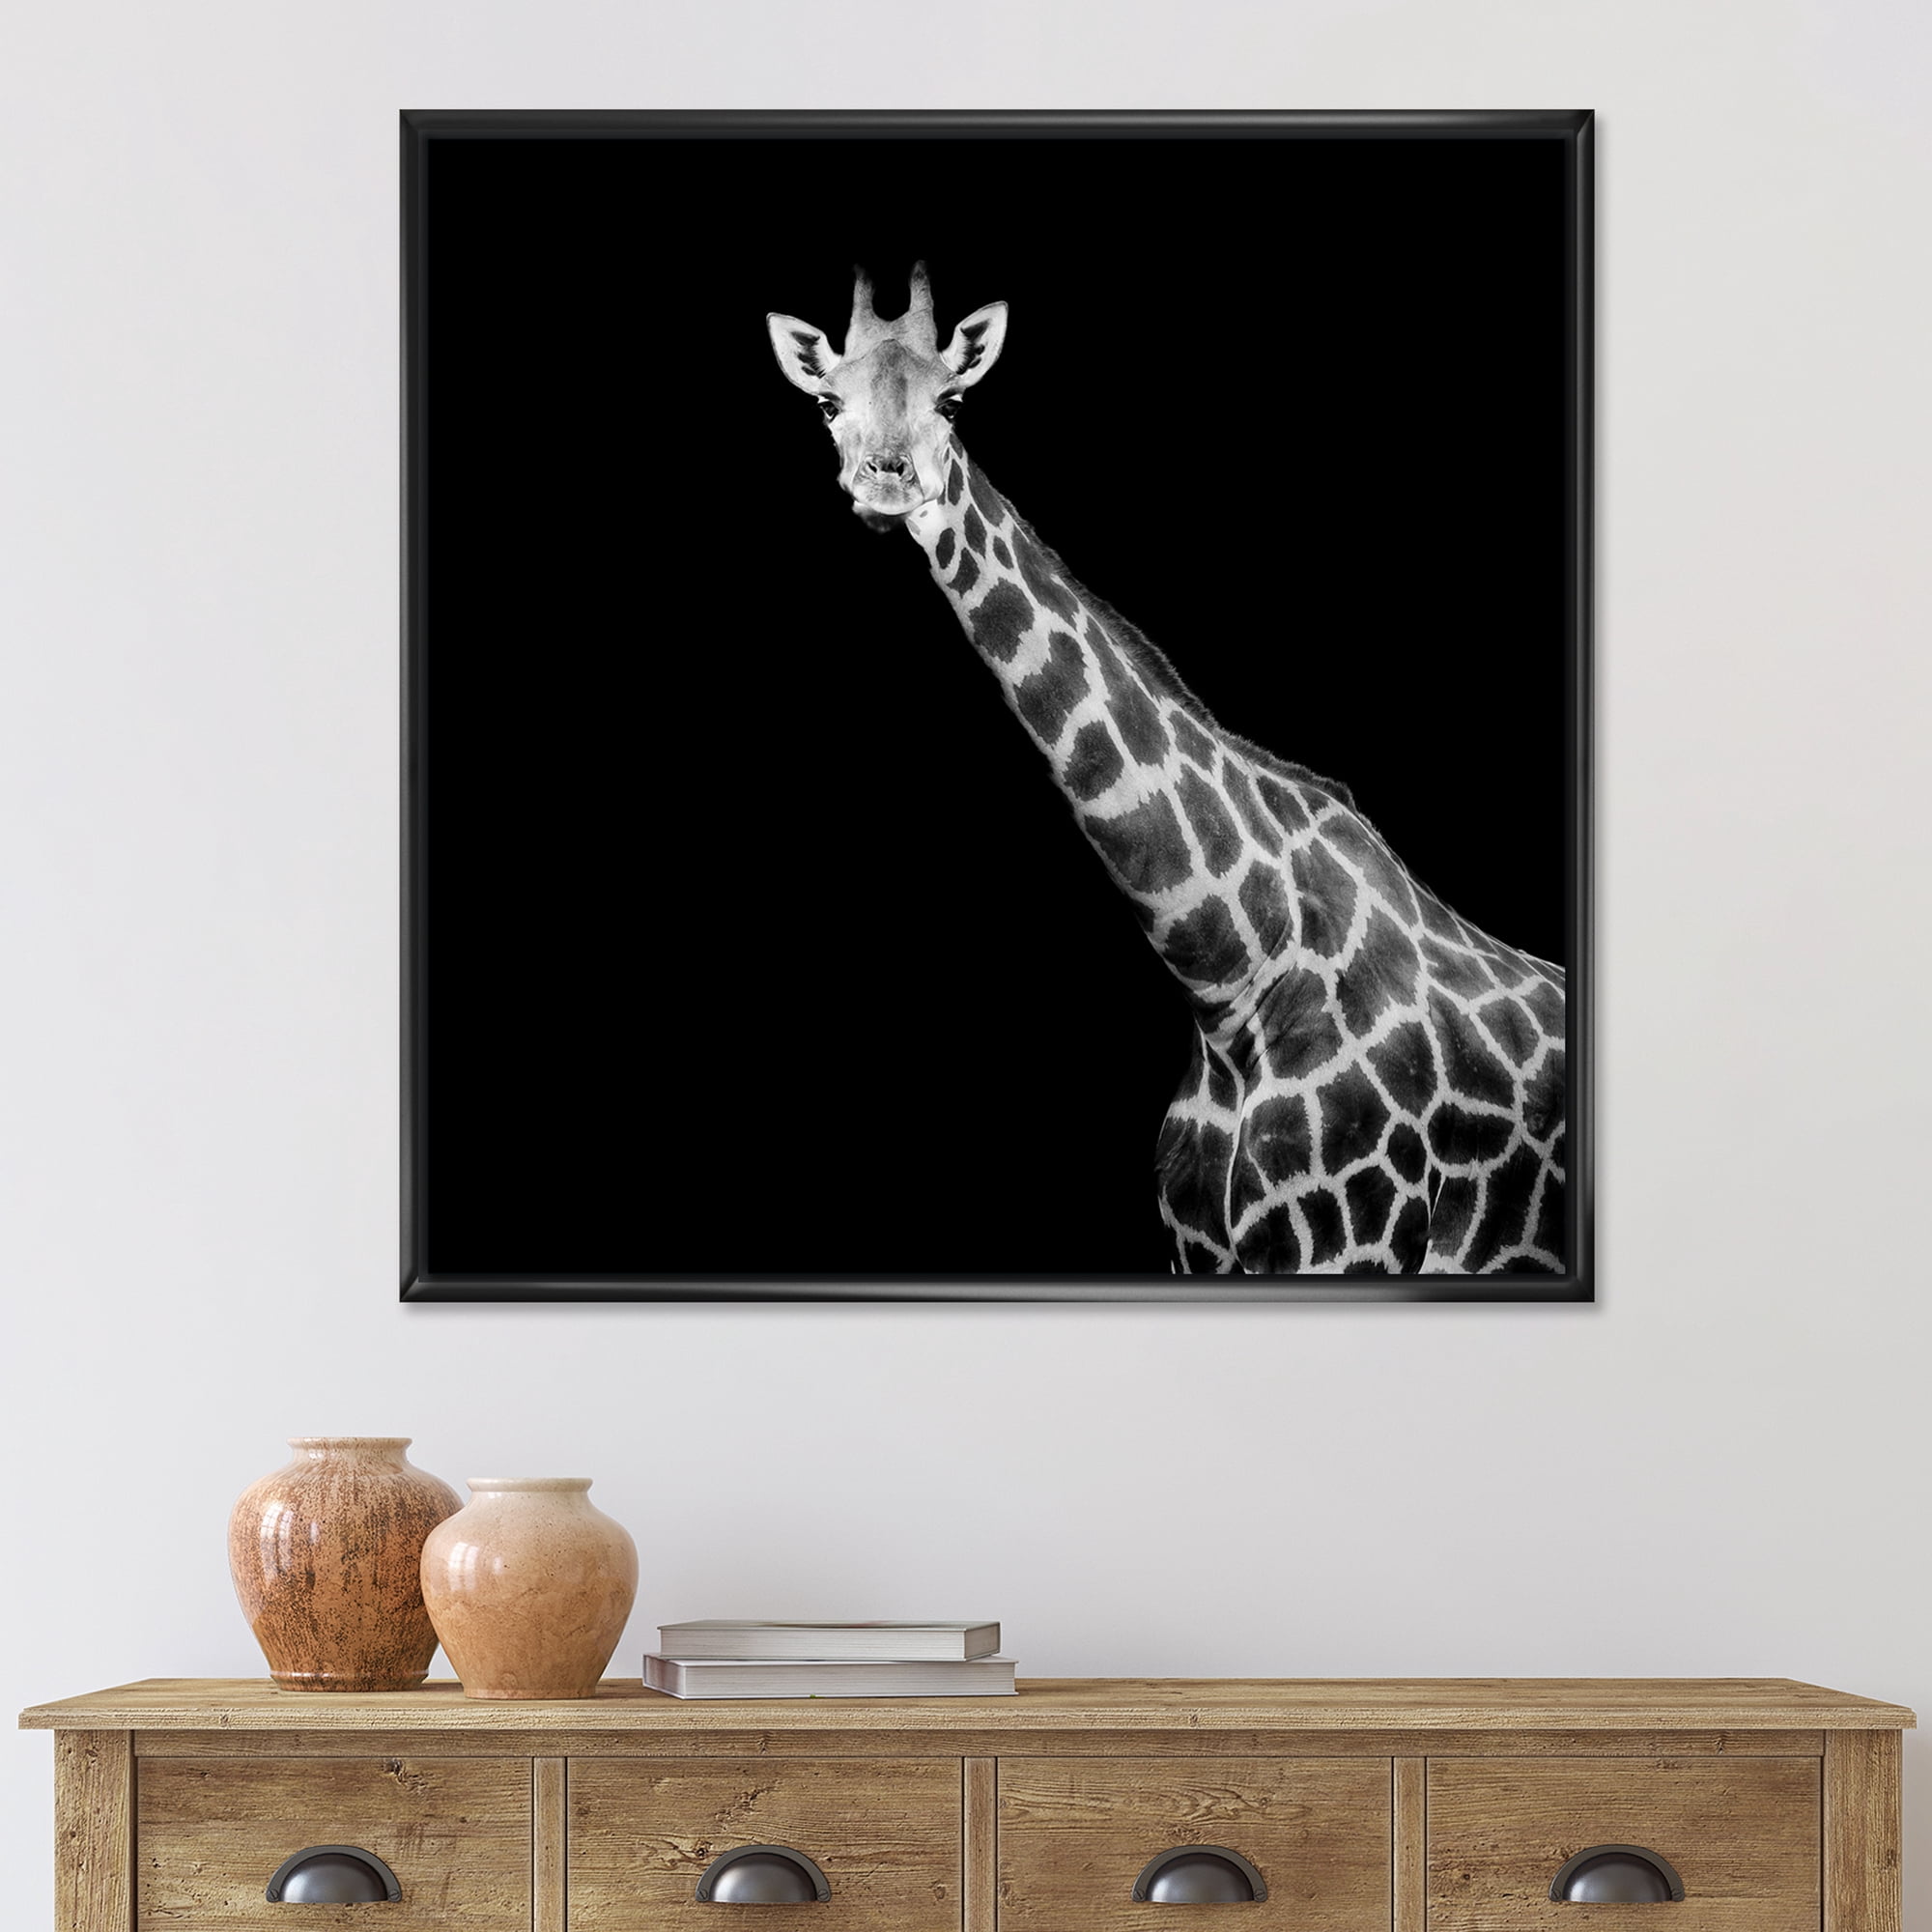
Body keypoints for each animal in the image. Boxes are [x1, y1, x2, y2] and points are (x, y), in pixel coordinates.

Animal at [766, 266, 1567, 1275]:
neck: (1230, 980)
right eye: (828, 402)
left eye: (953, 400)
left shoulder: (1357, 1239)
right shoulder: (1196, 1249)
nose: (885, 480)